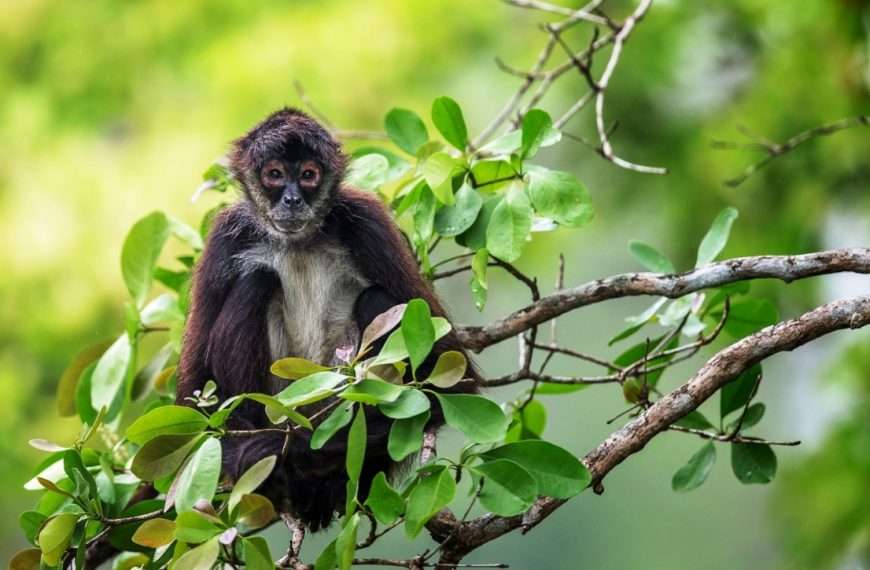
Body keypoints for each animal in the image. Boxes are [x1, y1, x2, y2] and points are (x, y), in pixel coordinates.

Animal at [177, 108, 478, 530]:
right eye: (274, 174)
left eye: (308, 174)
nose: (291, 198)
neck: (298, 243)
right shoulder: (226, 237)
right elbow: (193, 398)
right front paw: (253, 454)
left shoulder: (366, 221)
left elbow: (450, 386)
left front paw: (280, 450)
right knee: (256, 279)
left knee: (373, 298)